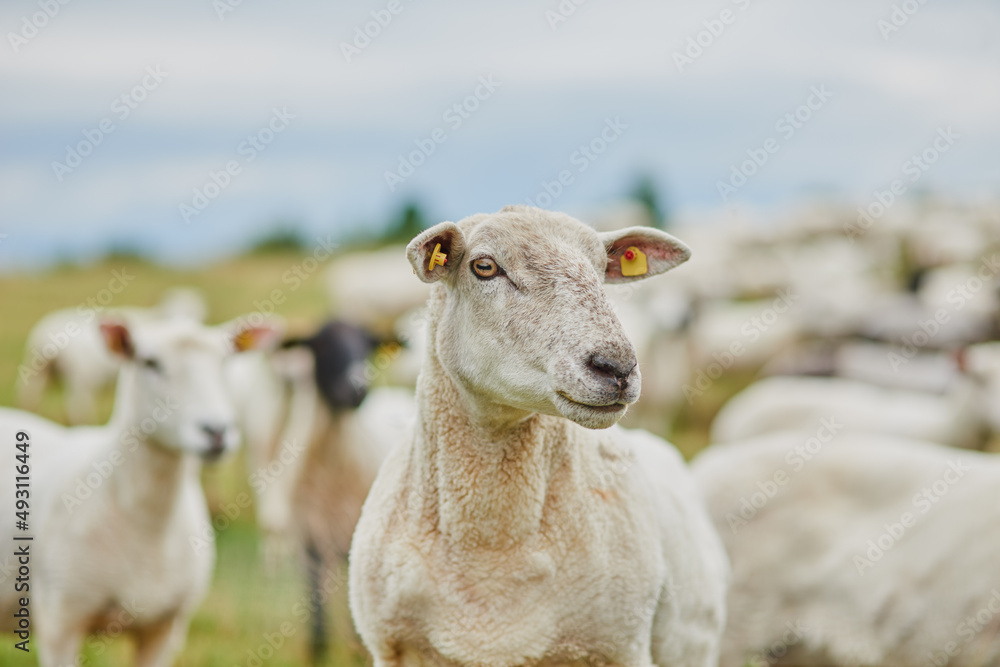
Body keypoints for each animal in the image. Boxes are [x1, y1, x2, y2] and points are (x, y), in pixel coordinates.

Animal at [17, 286, 208, 422]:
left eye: (197, 311)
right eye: (171, 309)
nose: (186, 322)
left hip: (40, 371)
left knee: (31, 396)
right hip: (80, 376)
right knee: (77, 406)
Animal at [346, 206, 728, 664]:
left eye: (601, 269)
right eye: (484, 267)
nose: (617, 367)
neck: (490, 551)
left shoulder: (623, 648)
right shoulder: (391, 647)